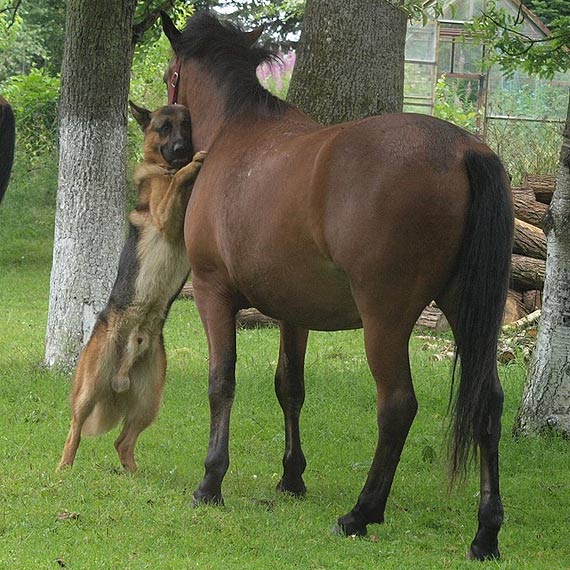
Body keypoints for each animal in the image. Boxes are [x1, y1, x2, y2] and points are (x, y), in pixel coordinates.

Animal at [58, 101, 205, 470]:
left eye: (186, 125)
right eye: (164, 128)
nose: (181, 149)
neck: (163, 168)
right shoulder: (165, 215)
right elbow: (178, 183)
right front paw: (192, 166)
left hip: (150, 402)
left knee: (123, 442)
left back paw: (134, 476)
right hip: (88, 389)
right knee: (75, 428)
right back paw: (63, 469)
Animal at [159, 11, 510, 556]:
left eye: (167, 77)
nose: (171, 150)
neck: (236, 135)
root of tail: (464, 150)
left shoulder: (215, 295)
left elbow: (222, 383)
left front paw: (211, 482)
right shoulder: (293, 313)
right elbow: (290, 387)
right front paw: (292, 477)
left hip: (385, 319)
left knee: (397, 406)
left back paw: (361, 513)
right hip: (465, 309)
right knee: (488, 404)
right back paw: (486, 532)